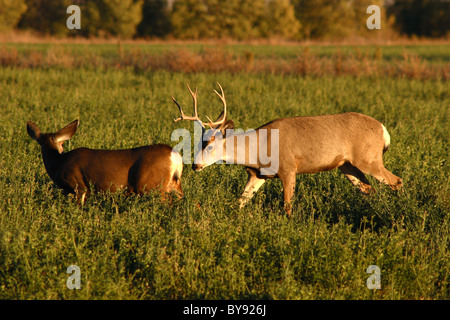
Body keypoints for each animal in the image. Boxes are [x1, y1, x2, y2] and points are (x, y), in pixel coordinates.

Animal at [26, 119, 183, 204]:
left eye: (63, 143)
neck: (58, 162)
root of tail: (175, 156)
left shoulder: (78, 185)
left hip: (152, 186)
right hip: (174, 185)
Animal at [173, 84, 404, 216]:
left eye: (210, 143)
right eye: (198, 142)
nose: (195, 165)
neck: (257, 149)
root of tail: (383, 129)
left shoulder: (288, 168)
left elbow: (287, 206)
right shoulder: (257, 175)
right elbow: (239, 202)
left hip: (369, 158)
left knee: (396, 181)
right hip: (347, 166)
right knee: (369, 189)